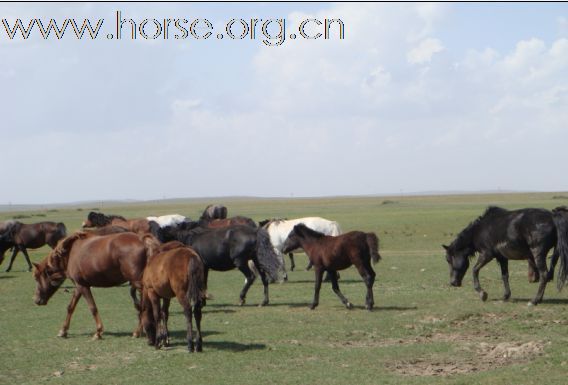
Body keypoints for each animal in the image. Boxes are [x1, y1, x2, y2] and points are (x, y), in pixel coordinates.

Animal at [32, 230, 160, 338]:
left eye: (37, 278)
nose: (36, 300)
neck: (71, 253)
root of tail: (142, 240)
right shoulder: (79, 286)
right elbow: (70, 307)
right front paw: (63, 331)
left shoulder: (83, 287)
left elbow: (92, 308)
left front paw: (98, 332)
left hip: (138, 284)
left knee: (144, 305)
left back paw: (138, 331)